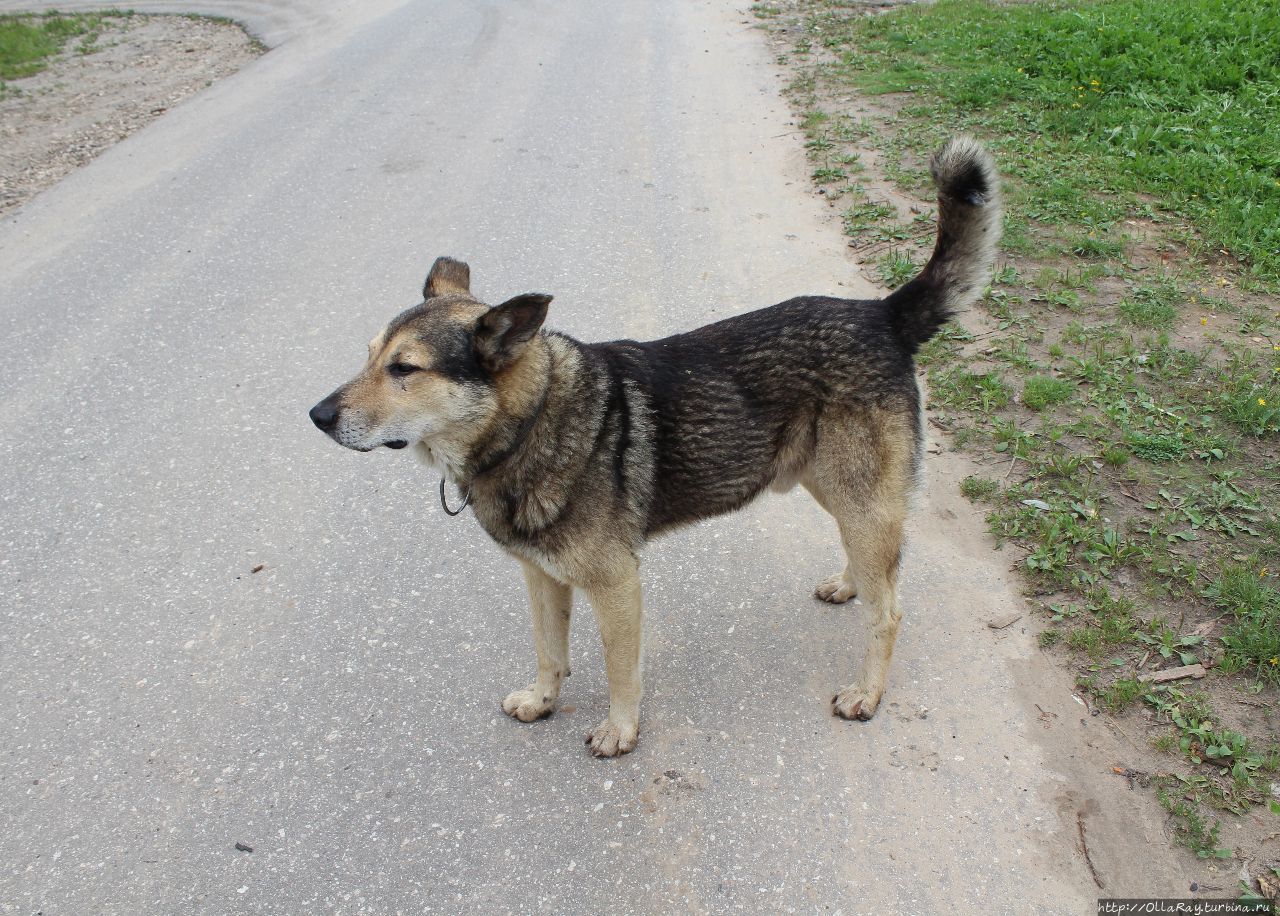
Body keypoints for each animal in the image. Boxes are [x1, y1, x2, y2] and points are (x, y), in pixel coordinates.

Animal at [309, 134, 998, 752]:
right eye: (369, 357)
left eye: (405, 369)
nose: (316, 416)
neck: (531, 421)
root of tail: (881, 314)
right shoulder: (542, 578)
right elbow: (549, 652)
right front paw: (542, 700)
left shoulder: (617, 586)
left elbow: (620, 670)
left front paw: (620, 731)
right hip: (831, 485)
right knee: (872, 566)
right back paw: (849, 583)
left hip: (859, 496)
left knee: (891, 610)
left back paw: (868, 692)